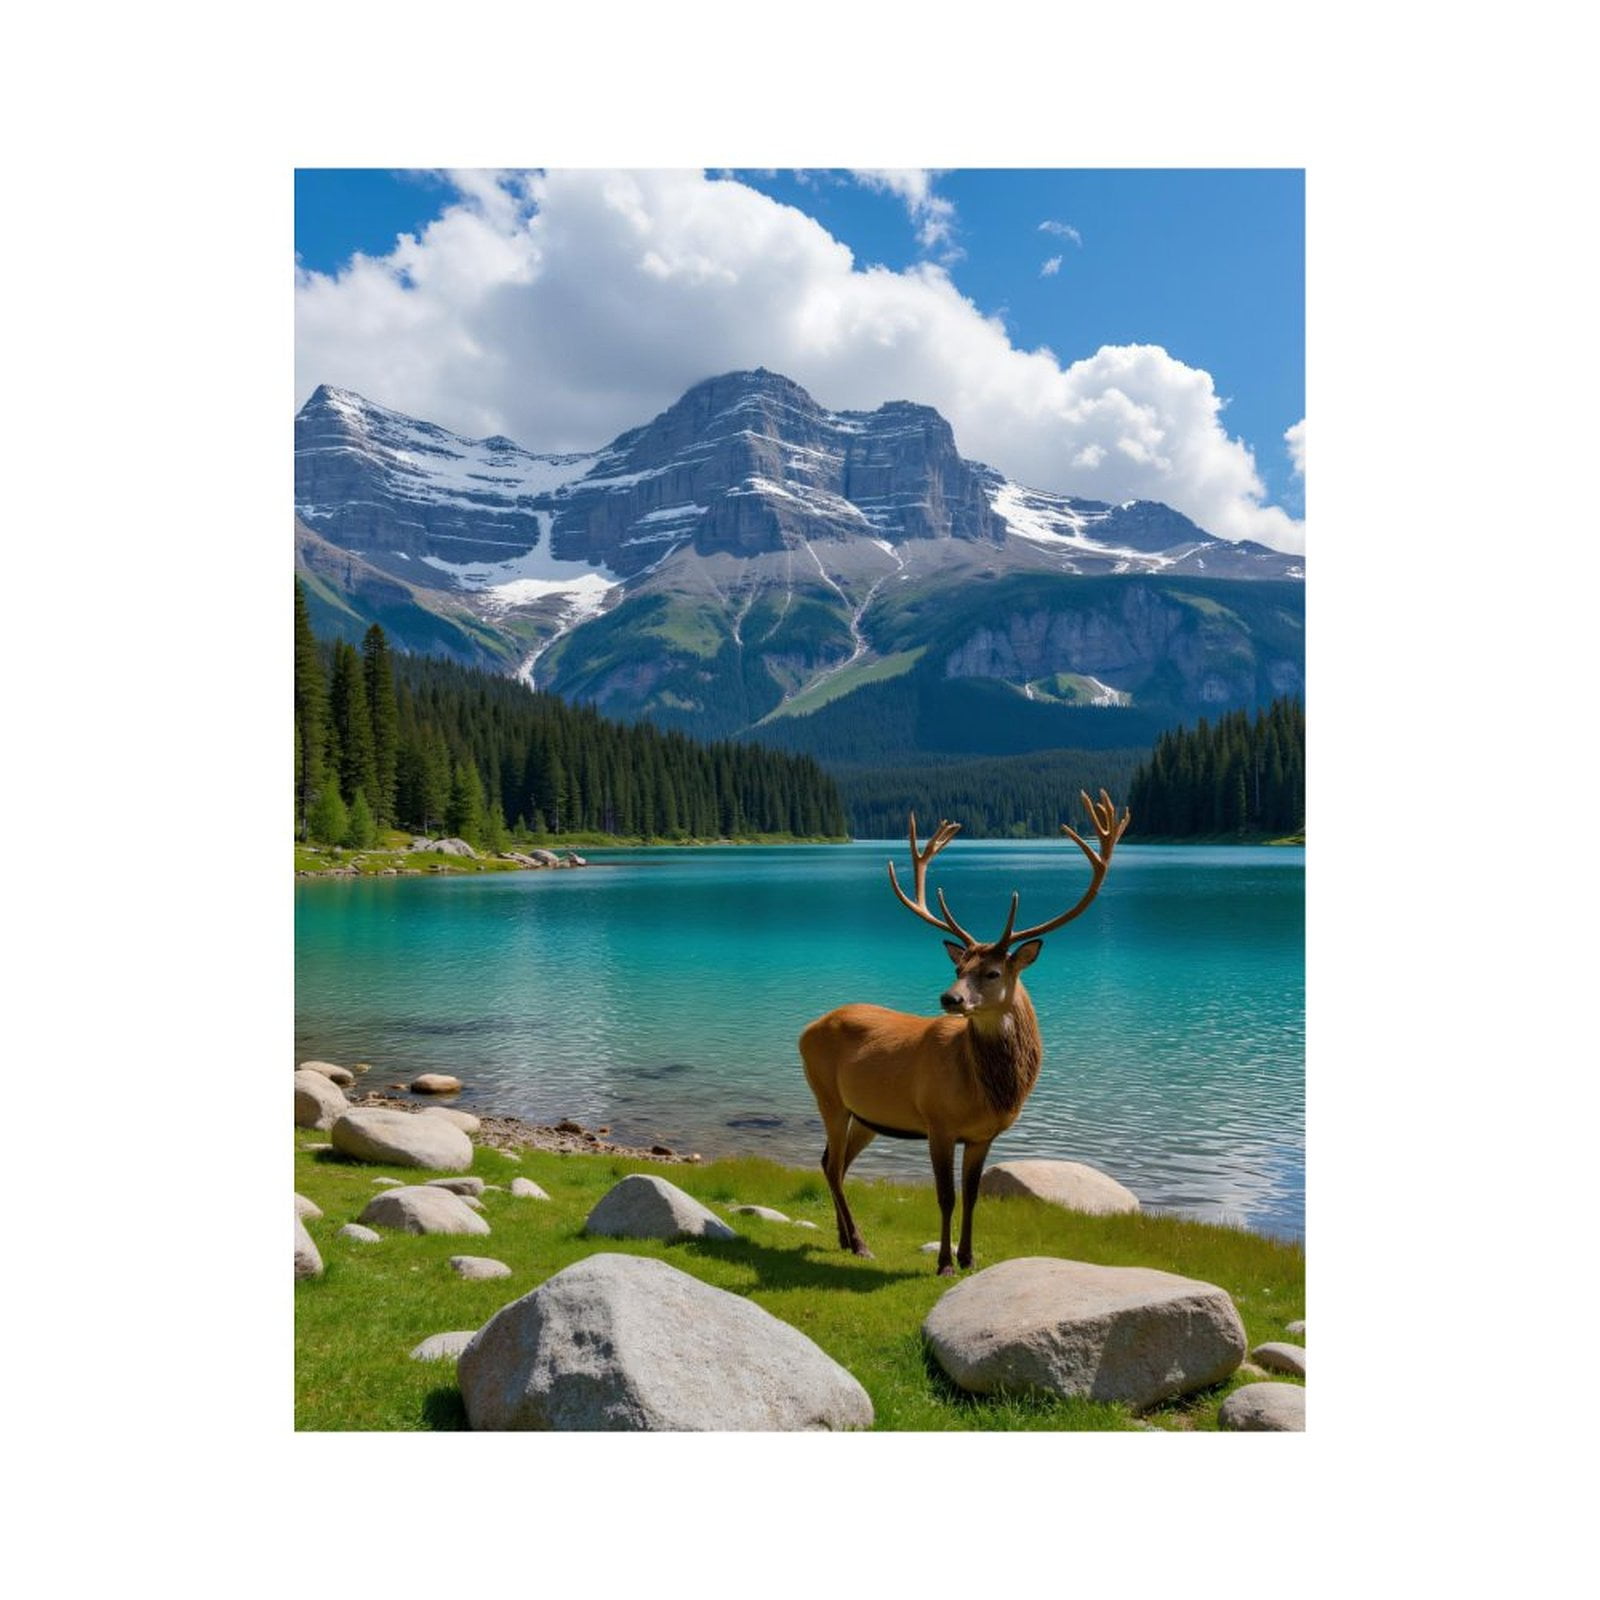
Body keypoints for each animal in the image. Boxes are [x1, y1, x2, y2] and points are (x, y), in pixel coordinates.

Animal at [799, 790, 1130, 1276]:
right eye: (958, 968)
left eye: (992, 972)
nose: (949, 998)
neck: (987, 1090)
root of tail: (806, 1028)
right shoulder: (937, 1121)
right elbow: (946, 1195)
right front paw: (944, 1263)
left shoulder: (982, 1135)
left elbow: (973, 1196)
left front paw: (969, 1256)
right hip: (828, 1095)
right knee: (831, 1162)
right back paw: (859, 1243)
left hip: (867, 1115)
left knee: (830, 1163)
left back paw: (845, 1238)